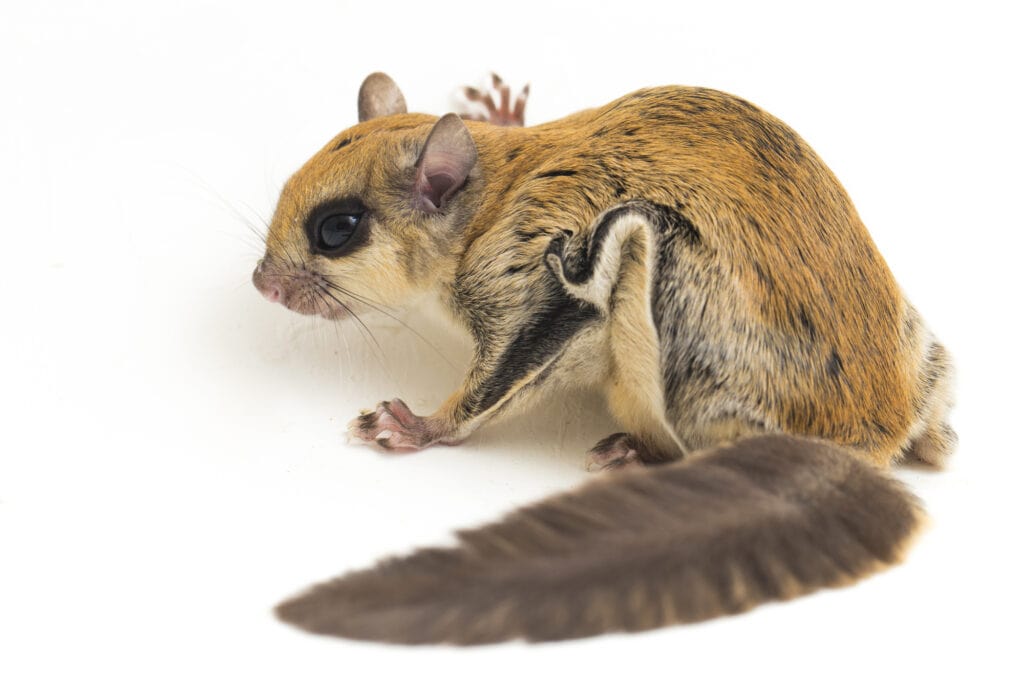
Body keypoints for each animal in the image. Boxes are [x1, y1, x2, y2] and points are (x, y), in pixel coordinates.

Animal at [252, 72, 956, 645]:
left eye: (336, 228)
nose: (262, 284)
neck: (488, 202)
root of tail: (861, 440)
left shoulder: (533, 290)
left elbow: (491, 385)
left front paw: (417, 426)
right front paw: (503, 109)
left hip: (655, 283)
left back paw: (637, 455)